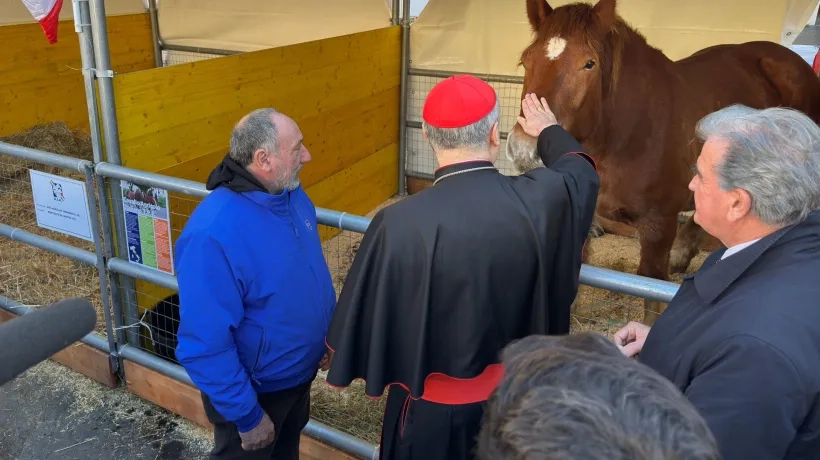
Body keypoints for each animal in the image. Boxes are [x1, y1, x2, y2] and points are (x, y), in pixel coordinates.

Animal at [510, 0, 820, 326]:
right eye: (526, 61)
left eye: (589, 64)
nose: (525, 149)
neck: (627, 134)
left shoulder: (658, 226)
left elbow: (651, 286)